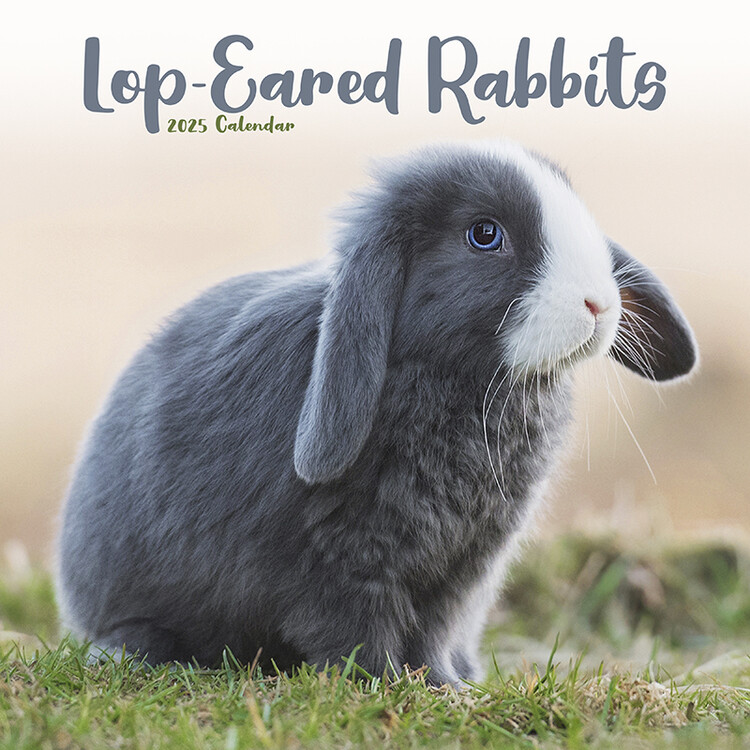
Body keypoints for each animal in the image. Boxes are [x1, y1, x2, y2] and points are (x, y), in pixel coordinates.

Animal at [55, 141, 697, 686]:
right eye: (485, 235)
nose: (599, 303)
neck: (455, 381)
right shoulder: (341, 561)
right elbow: (357, 627)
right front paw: (389, 685)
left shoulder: (464, 569)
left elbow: (435, 628)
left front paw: (444, 684)